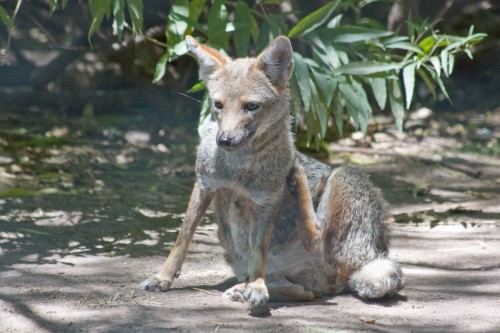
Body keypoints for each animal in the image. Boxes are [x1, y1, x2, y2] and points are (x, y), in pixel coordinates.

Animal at [139, 35, 404, 304]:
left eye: (251, 106)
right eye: (218, 105)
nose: (224, 140)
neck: (237, 171)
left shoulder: (267, 201)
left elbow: (259, 250)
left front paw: (257, 287)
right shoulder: (204, 186)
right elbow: (182, 237)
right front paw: (163, 277)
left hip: (344, 176)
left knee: (317, 243)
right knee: (303, 291)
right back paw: (250, 289)